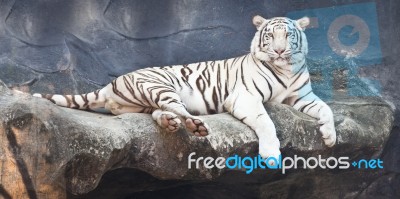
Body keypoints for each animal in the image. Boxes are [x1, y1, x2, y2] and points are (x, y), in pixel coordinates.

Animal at [34, 15, 336, 162]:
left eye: (288, 36)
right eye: (270, 36)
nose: (280, 50)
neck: (286, 68)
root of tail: (111, 83)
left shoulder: (303, 96)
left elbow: (327, 109)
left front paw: (330, 136)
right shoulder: (245, 98)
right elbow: (266, 121)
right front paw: (271, 155)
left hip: (145, 102)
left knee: (161, 112)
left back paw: (169, 123)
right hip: (160, 85)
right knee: (179, 109)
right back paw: (195, 126)